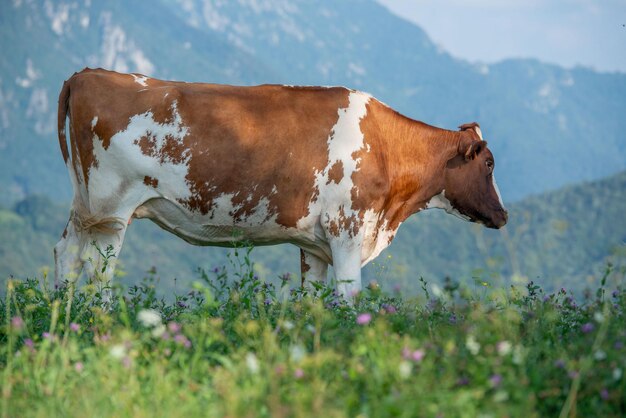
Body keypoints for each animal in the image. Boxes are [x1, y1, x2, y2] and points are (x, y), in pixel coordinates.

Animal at [54, 67, 508, 298]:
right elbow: (350, 302)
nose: (503, 215)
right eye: (489, 163)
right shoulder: (347, 233)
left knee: (66, 254)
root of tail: (87, 73)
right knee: (97, 269)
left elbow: (315, 305)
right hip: (111, 209)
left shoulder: (317, 246)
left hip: (85, 205)